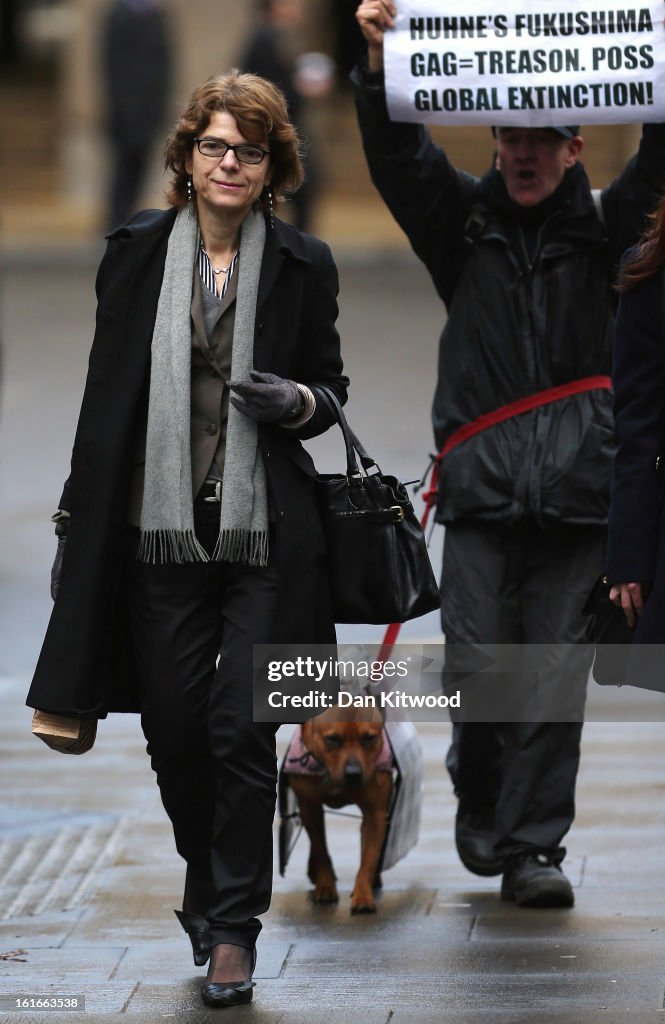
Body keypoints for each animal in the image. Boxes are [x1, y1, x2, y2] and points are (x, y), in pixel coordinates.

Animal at [286, 708, 391, 917]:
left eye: (369, 738)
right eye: (332, 739)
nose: (353, 773)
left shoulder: (375, 813)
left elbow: (368, 858)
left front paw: (363, 895)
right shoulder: (310, 807)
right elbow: (320, 848)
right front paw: (325, 886)